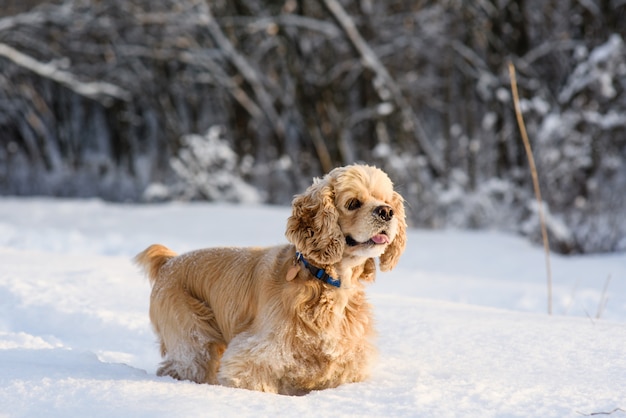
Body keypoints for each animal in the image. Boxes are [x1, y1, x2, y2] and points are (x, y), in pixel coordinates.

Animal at [135, 164, 408, 396]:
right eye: (353, 203)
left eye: (386, 201)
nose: (386, 212)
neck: (328, 283)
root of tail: (169, 262)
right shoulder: (252, 357)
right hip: (193, 340)